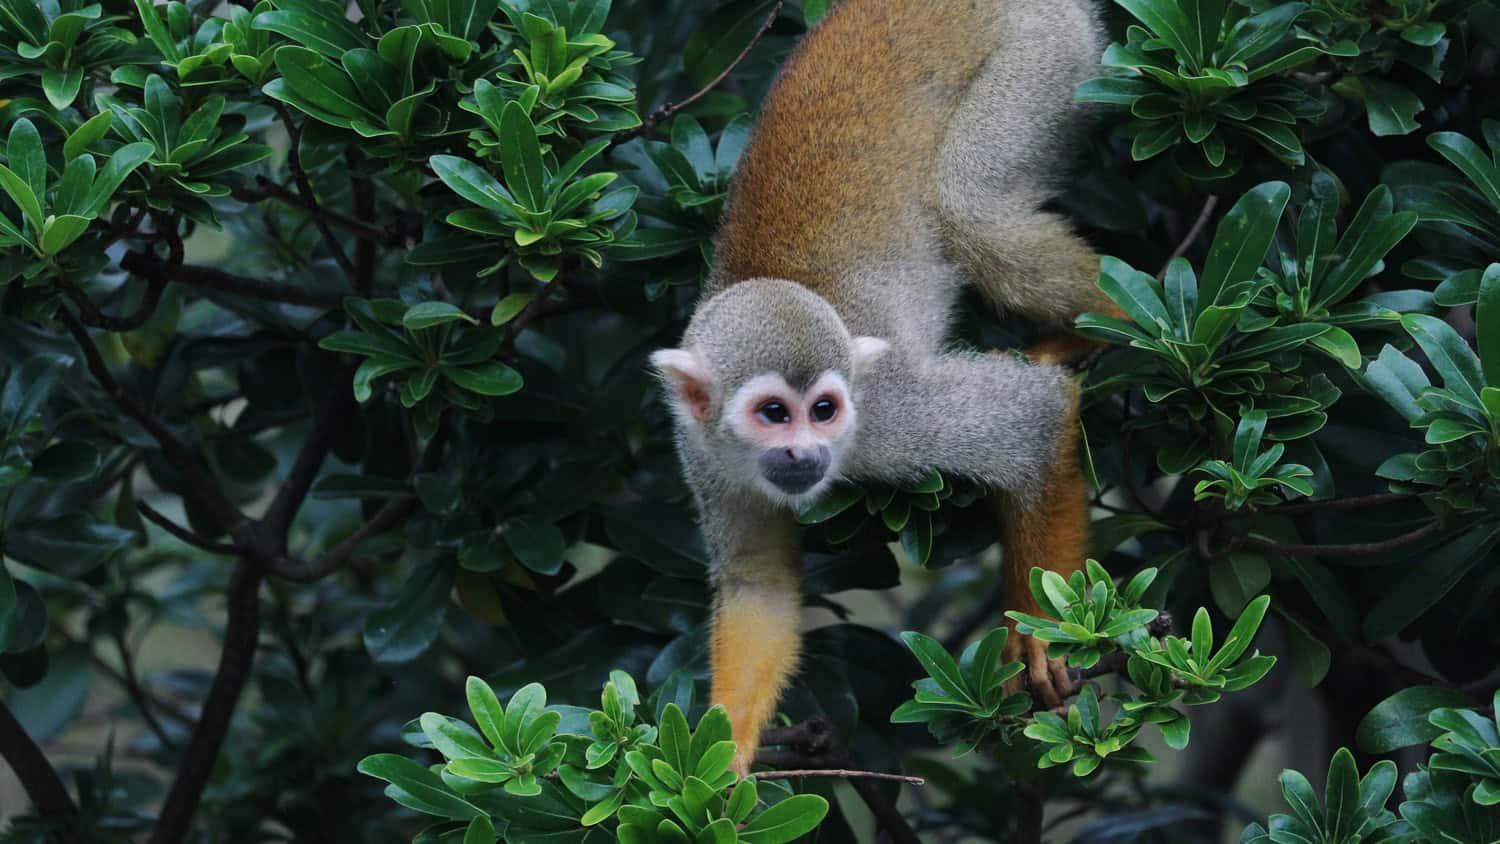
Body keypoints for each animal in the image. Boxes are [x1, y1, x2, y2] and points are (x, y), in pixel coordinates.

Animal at [649, 0, 1114, 773]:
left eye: (825, 410)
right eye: (772, 413)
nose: (805, 455)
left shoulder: (891, 417)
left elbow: (1036, 417)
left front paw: (1042, 632)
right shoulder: (701, 451)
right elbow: (759, 585)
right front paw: (723, 753)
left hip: (1046, 54)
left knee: (969, 209)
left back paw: (1117, 325)